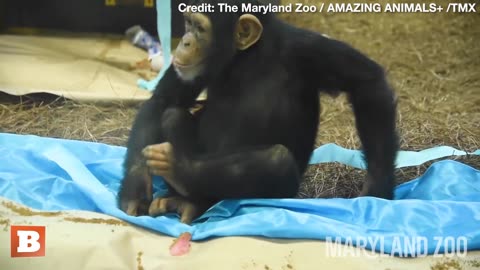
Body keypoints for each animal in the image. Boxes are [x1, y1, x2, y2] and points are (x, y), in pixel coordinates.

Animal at [118, 0, 400, 224]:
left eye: (199, 28)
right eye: (187, 23)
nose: (185, 42)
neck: (246, 57)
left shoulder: (307, 48)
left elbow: (366, 82)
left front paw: (377, 192)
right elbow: (162, 100)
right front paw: (136, 189)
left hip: (280, 193)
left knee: (276, 160)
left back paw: (181, 173)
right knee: (172, 115)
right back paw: (182, 196)